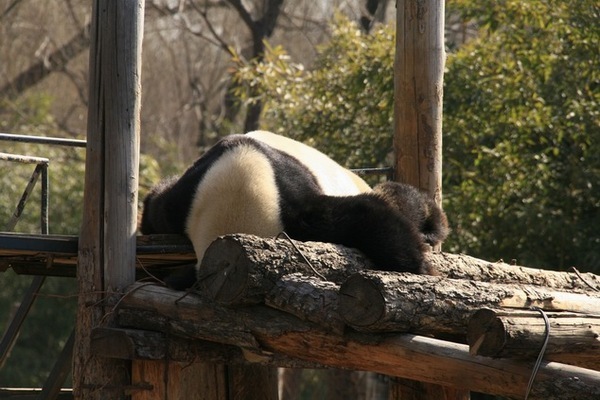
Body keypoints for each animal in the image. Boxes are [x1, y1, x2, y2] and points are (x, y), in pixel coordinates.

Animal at [139, 130, 446, 290]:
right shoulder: (185, 199)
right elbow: (155, 206)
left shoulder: (291, 200)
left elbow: (363, 216)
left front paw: (420, 268)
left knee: (398, 198)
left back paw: (432, 228)